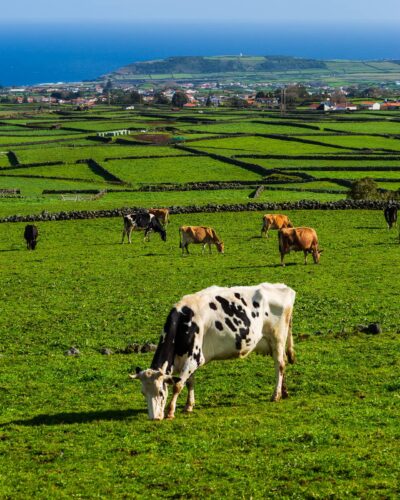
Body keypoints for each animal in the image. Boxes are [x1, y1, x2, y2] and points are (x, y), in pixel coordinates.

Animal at [130, 284, 296, 420]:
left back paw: (276, 395)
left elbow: (179, 385)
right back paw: (284, 392)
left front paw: (170, 411)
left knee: (280, 365)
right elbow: (190, 382)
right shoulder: (187, 359)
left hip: (277, 338)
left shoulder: (195, 358)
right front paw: (188, 406)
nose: (154, 418)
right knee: (283, 363)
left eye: (160, 392)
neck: (184, 322)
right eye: (143, 393)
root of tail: (284, 287)